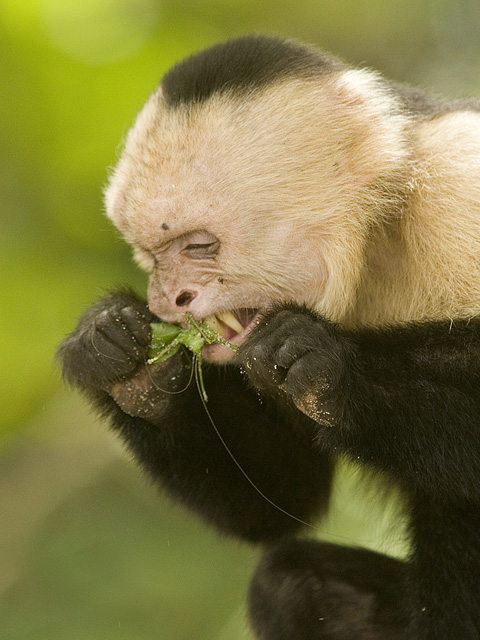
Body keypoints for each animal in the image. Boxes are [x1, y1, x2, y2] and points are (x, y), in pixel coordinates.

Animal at [57, 35, 480, 639]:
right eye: (150, 255)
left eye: (199, 246)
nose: (167, 301)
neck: (376, 236)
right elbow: (281, 501)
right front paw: (119, 360)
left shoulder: (461, 189)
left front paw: (333, 372)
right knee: (288, 582)